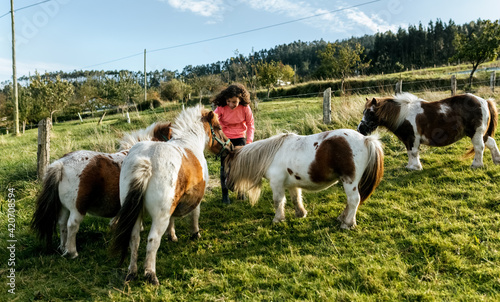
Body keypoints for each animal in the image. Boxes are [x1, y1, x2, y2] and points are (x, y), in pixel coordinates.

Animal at [31, 121, 173, 258]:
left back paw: (63, 247)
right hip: (77, 209)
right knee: (72, 225)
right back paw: (72, 253)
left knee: (62, 224)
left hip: (64, 207)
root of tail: (62, 164)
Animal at [110, 105, 231, 286]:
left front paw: (172, 235)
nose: (230, 147)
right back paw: (150, 274)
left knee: (134, 238)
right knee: (152, 240)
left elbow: (172, 219)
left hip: (135, 214)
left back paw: (132, 272)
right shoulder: (196, 199)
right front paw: (195, 234)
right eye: (218, 128)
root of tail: (147, 161)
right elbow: (194, 216)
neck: (189, 141)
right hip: (159, 217)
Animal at [223, 129, 382, 230]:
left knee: (354, 200)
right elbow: (295, 199)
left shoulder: (276, 183)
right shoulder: (292, 184)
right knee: (351, 202)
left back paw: (347, 223)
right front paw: (300, 214)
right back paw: (343, 218)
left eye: (228, 165)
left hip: (350, 182)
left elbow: (278, 201)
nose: (228, 185)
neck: (271, 155)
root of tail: (366, 139)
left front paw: (278, 219)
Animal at [358, 92, 498, 170]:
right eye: (364, 112)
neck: (403, 115)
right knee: (490, 143)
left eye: (371, 112)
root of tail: (484, 101)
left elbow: (413, 152)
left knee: (479, 147)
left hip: (476, 133)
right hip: (481, 133)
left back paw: (476, 165)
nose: (360, 129)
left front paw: (415, 167)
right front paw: (410, 166)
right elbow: (409, 153)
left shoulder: (413, 138)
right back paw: (497, 160)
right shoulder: (408, 140)